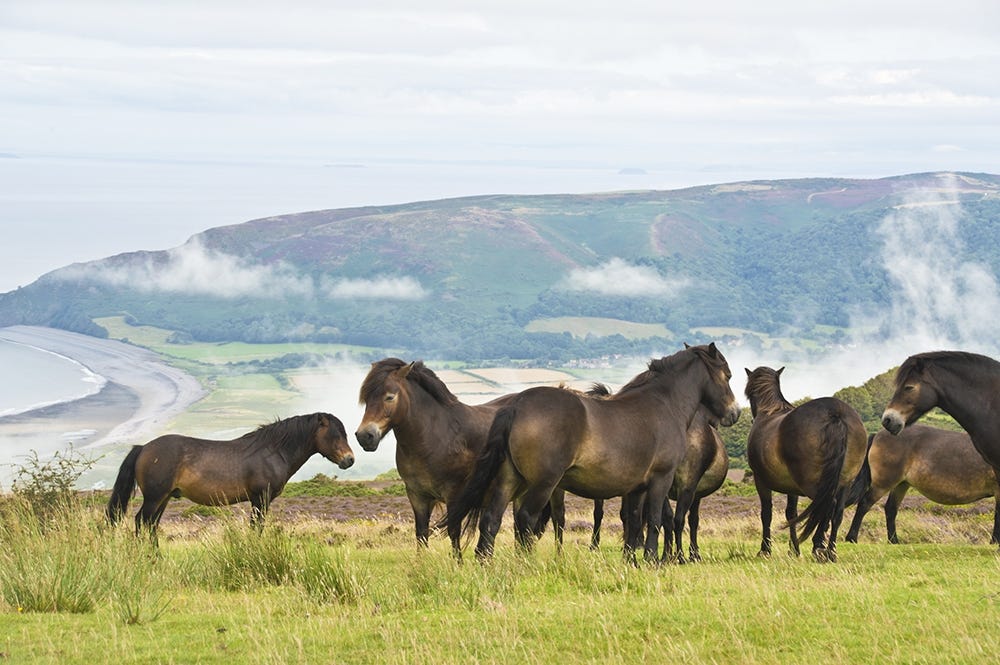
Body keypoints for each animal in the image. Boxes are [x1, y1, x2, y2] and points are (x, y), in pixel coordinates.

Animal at [105, 410, 354, 540]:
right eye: (335, 435)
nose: (349, 460)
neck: (273, 451)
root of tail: (144, 448)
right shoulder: (260, 499)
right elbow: (256, 527)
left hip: (164, 498)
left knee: (152, 525)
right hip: (154, 497)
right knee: (142, 522)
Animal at [450, 344, 740, 564]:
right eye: (727, 375)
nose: (734, 413)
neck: (664, 404)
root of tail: (517, 405)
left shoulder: (636, 488)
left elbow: (634, 522)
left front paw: (631, 561)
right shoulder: (661, 479)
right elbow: (656, 519)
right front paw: (651, 560)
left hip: (509, 478)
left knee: (491, 519)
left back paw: (485, 563)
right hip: (544, 483)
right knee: (525, 520)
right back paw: (526, 563)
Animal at [744, 366, 868, 564]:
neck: (769, 412)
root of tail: (836, 414)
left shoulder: (760, 481)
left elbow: (767, 514)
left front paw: (765, 550)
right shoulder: (792, 488)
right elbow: (791, 514)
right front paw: (794, 549)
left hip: (813, 484)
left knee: (826, 506)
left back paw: (819, 546)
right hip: (844, 482)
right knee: (838, 512)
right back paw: (831, 551)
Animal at [844, 426, 1000, 544]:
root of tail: (878, 435)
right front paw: (995, 541)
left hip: (901, 484)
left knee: (891, 509)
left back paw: (894, 541)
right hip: (883, 484)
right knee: (864, 504)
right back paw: (851, 538)